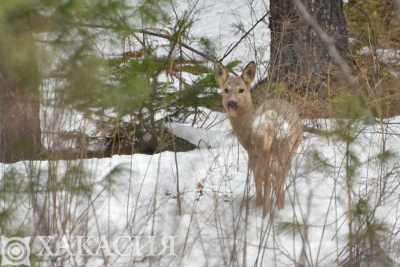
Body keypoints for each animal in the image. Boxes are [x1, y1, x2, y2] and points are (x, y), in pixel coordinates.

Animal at [216, 61, 304, 213]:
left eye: (241, 90)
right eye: (226, 90)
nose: (231, 103)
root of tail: (272, 125)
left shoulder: (252, 152)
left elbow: (258, 176)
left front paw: (258, 203)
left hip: (270, 148)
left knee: (271, 175)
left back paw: (267, 209)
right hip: (289, 146)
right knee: (280, 174)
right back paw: (278, 207)